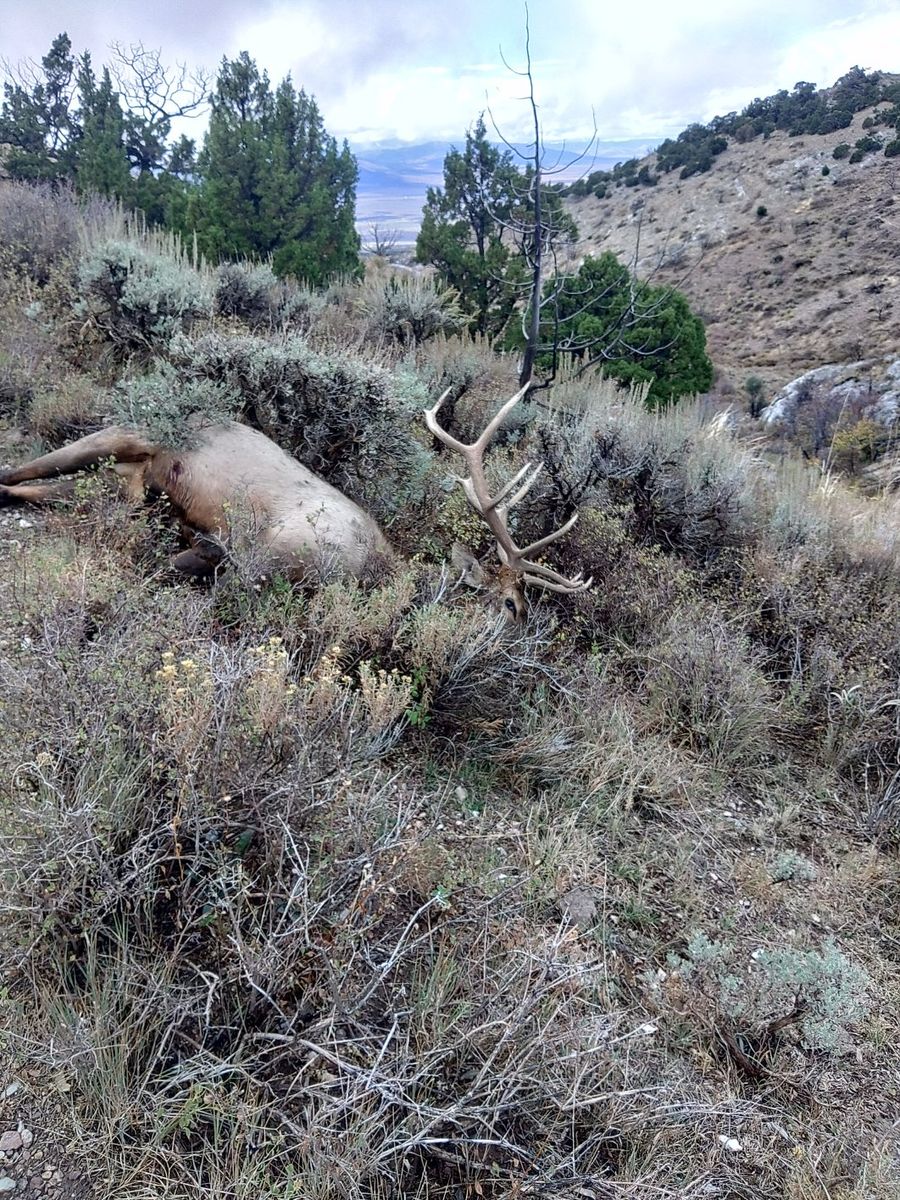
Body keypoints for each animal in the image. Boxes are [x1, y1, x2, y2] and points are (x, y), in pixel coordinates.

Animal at [0, 383, 590, 621]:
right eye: (512, 605)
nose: (525, 639)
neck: (372, 572)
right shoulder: (263, 557)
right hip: (122, 435)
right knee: (17, 469)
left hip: (125, 487)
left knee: (39, 491)